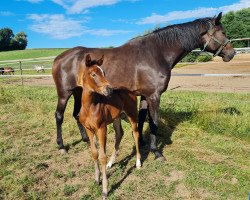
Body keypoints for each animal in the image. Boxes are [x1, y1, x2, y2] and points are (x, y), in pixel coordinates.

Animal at [79, 53, 142, 198]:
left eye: (104, 72)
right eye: (93, 74)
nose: (109, 90)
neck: (90, 107)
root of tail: (130, 91)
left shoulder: (102, 128)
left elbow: (102, 156)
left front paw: (105, 190)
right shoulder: (89, 129)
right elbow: (94, 152)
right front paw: (97, 179)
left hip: (132, 115)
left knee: (135, 134)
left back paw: (138, 162)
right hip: (117, 118)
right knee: (120, 134)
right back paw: (110, 163)